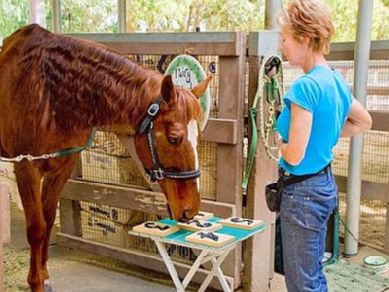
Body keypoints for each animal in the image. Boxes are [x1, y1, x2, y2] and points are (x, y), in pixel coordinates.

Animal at [0, 24, 209, 292]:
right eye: (174, 138)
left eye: (199, 136)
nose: (190, 209)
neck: (49, 93)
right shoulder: (26, 167)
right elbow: (36, 228)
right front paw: (35, 282)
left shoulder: (61, 167)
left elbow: (47, 221)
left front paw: (44, 276)